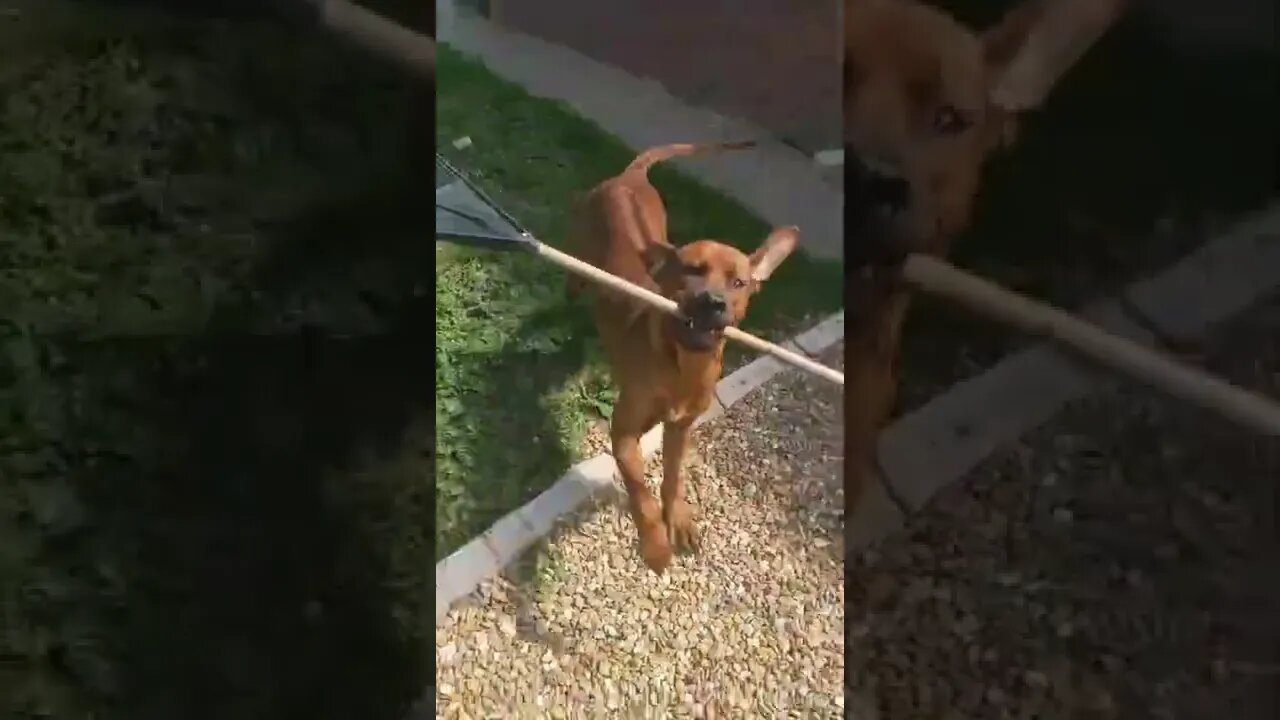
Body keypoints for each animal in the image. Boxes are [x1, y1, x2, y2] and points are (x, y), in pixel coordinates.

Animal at [573, 144, 798, 571]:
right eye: (693, 270)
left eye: (738, 282)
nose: (713, 302)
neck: (684, 365)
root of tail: (627, 177)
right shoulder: (622, 434)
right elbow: (640, 491)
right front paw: (655, 544)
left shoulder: (680, 428)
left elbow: (673, 477)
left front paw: (676, 519)